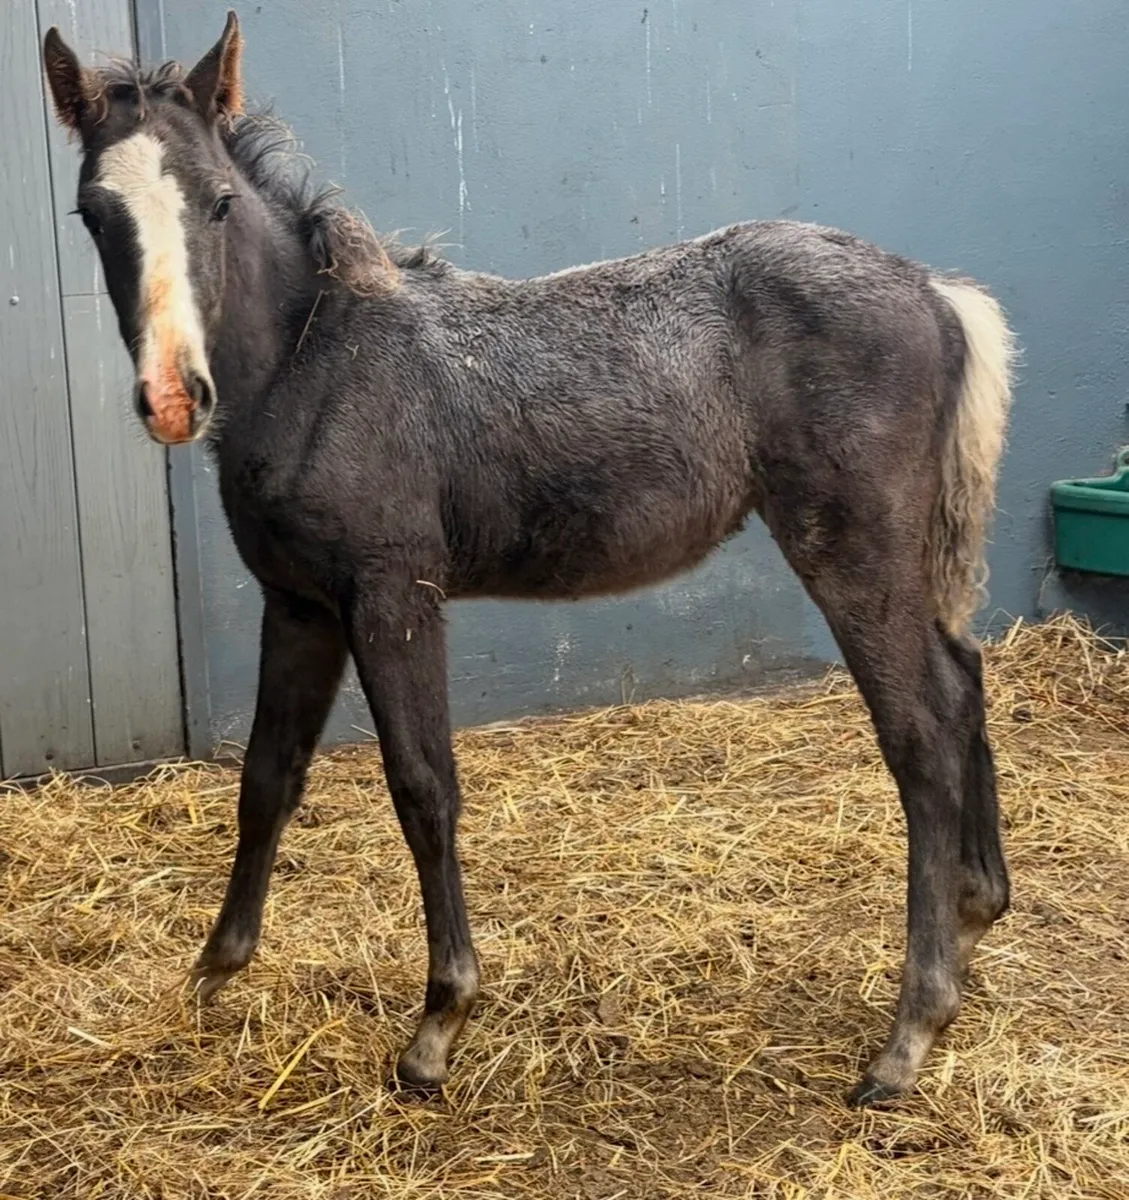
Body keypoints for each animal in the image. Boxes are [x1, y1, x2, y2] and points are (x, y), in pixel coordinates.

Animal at [43, 12, 1016, 1106]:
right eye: (93, 212)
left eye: (215, 200)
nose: (175, 397)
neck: (315, 363)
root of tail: (932, 290)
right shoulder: (298, 606)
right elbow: (266, 778)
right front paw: (214, 970)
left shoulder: (393, 595)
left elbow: (423, 786)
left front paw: (438, 1024)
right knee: (963, 681)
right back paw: (973, 922)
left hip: (850, 547)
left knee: (920, 730)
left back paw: (908, 1033)